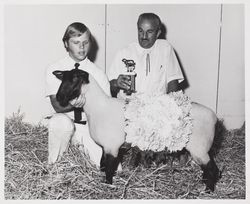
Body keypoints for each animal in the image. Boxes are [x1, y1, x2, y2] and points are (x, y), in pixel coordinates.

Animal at [53, 68, 221, 191]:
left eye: (75, 79)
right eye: (62, 79)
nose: (59, 97)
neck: (98, 107)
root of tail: (214, 117)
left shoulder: (112, 147)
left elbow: (109, 169)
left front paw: (108, 185)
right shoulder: (105, 146)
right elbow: (102, 164)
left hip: (199, 148)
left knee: (211, 168)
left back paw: (208, 190)